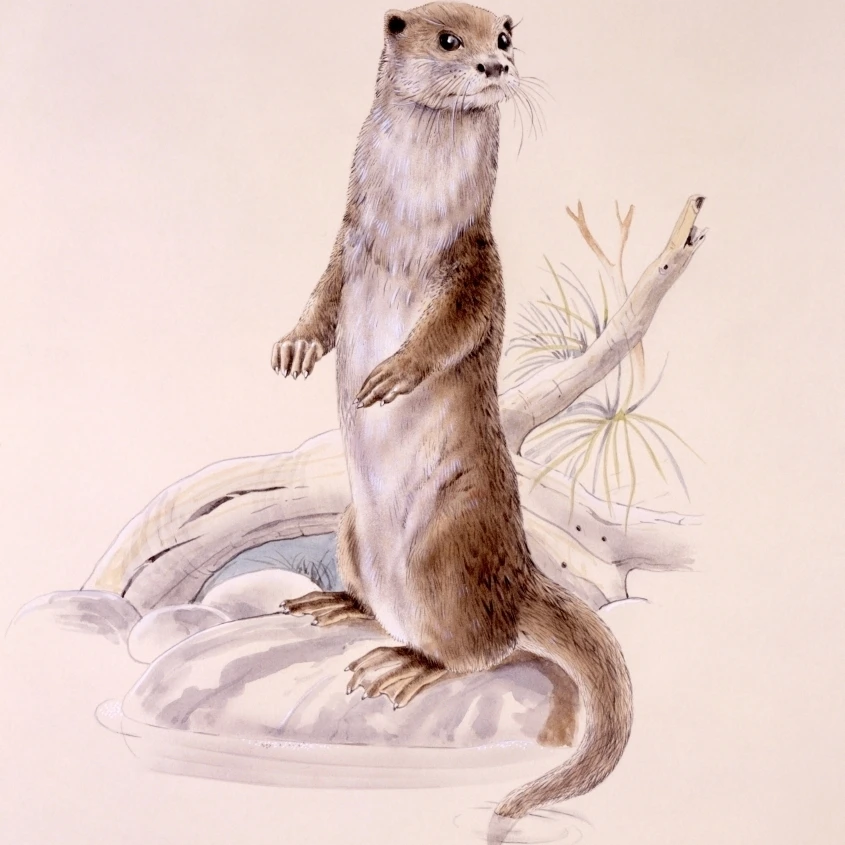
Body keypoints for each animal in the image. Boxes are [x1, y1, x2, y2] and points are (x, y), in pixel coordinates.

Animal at [271, 2, 632, 821]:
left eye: (503, 34)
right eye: (447, 38)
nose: (495, 65)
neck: (405, 229)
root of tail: (521, 577)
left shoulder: (477, 264)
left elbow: (453, 327)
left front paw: (392, 372)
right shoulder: (349, 233)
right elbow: (324, 290)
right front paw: (298, 343)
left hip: (445, 552)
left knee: (477, 651)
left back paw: (406, 665)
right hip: (351, 526)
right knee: (380, 601)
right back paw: (340, 606)